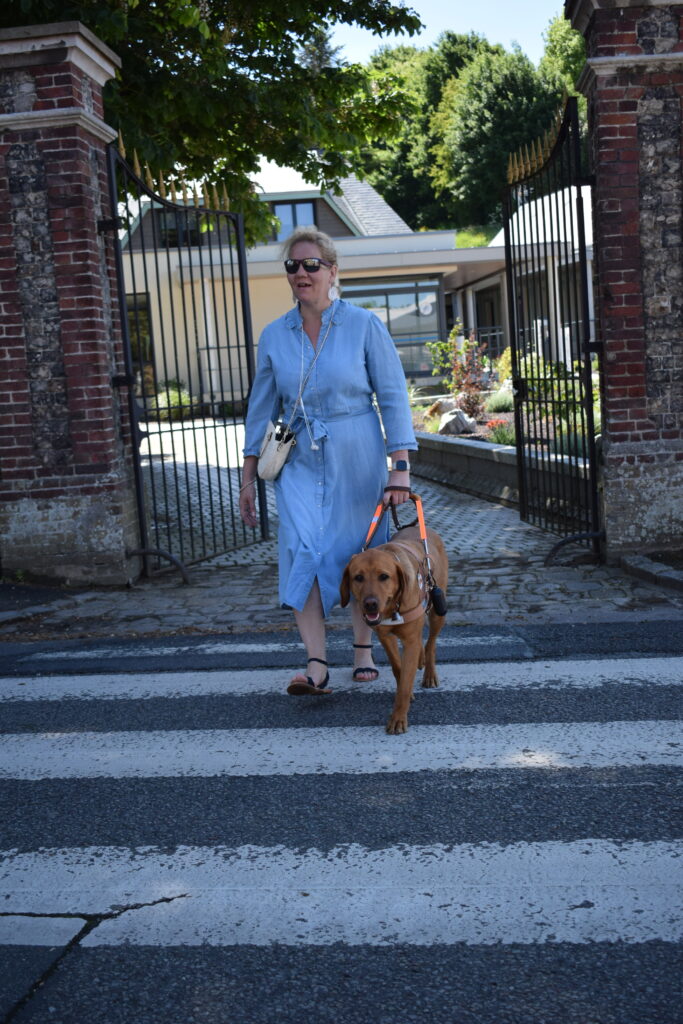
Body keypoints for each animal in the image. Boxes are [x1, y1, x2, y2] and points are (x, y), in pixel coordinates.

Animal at [339, 528, 448, 737]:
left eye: (384, 576)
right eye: (358, 577)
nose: (370, 604)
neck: (393, 608)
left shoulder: (410, 640)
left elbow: (405, 682)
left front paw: (398, 718)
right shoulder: (385, 637)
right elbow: (399, 669)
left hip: (438, 609)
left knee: (430, 643)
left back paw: (429, 673)